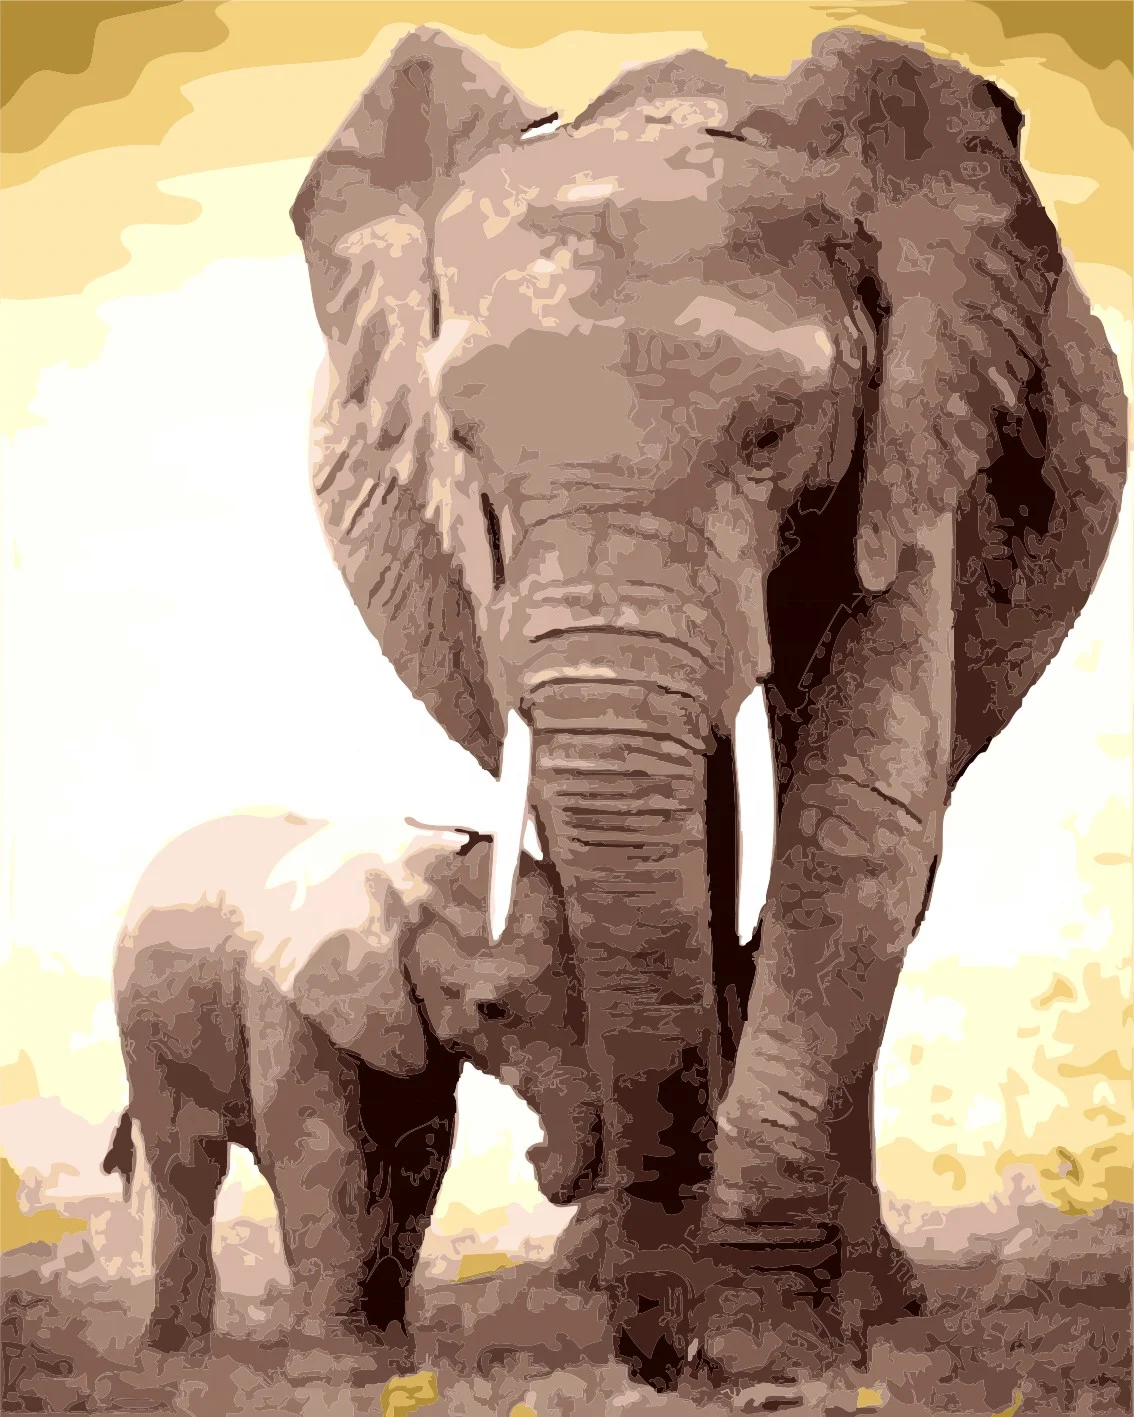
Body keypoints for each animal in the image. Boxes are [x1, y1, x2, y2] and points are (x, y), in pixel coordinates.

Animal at [105, 812, 602, 1371]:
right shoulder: (284, 999)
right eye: (492, 1009)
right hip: (145, 1034)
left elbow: (418, 1157)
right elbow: (319, 1148)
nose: (536, 1155)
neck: (410, 884)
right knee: (185, 1167)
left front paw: (393, 1354)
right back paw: (173, 1356)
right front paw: (342, 1368)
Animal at [288, 25, 1126, 1390]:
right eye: (464, 446)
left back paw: (872, 1294)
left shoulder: (912, 435)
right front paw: (675, 1302)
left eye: (773, 435)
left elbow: (856, 814)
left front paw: (767, 1334)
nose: (656, 1350)